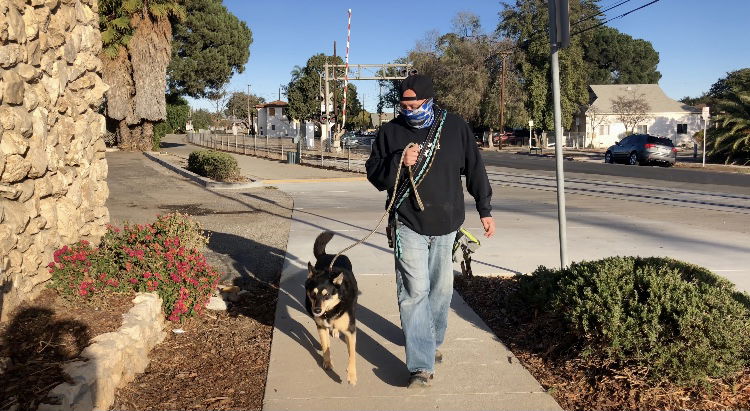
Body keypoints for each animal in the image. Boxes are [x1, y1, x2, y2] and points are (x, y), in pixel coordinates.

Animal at [305, 231, 359, 385]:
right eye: (313, 294)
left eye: (327, 295)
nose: (316, 311)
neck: (329, 312)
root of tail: (328, 255)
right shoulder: (321, 326)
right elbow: (325, 346)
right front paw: (327, 363)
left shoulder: (350, 331)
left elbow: (352, 354)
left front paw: (352, 376)